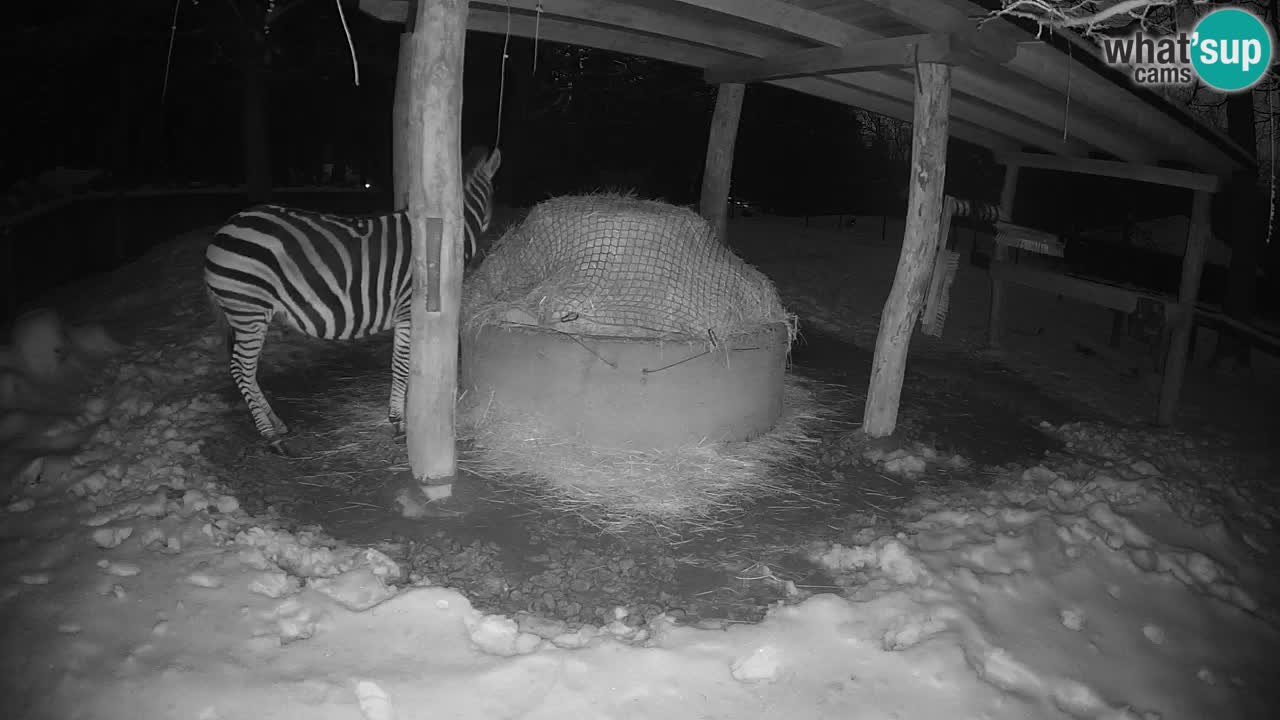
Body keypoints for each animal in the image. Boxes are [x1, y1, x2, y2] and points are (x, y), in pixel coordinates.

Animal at [203, 146, 501, 453]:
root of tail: (227, 227)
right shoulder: (409, 310)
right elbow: (402, 365)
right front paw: (398, 423)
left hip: (246, 313)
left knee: (246, 372)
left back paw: (277, 424)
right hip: (249, 309)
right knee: (241, 369)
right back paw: (270, 436)